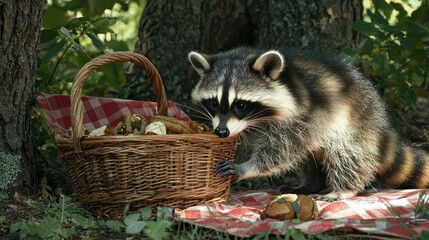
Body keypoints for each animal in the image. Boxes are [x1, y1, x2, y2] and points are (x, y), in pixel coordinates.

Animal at [187, 47, 428, 201]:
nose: (221, 132)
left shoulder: (308, 111)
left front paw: (247, 167)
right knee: (311, 156)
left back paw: (343, 188)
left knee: (347, 155)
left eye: (241, 105)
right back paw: (311, 183)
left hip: (353, 122)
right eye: (213, 102)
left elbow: (282, 149)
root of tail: (381, 120)